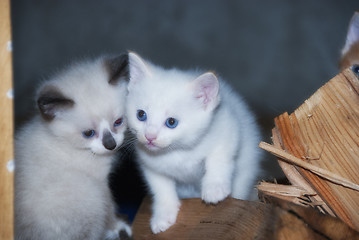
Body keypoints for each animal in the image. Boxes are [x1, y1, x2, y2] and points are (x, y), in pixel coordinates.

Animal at [14, 54, 132, 240]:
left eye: (118, 122)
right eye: (89, 133)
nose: (111, 145)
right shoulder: (100, 182)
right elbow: (110, 207)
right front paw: (116, 228)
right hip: (90, 192)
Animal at [128, 52, 262, 232]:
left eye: (171, 122)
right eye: (141, 115)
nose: (149, 136)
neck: (178, 151)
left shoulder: (228, 128)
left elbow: (218, 158)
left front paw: (214, 188)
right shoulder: (150, 164)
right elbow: (161, 188)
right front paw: (163, 214)